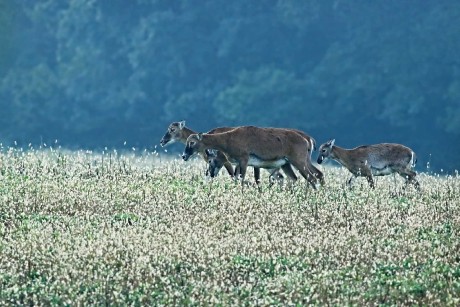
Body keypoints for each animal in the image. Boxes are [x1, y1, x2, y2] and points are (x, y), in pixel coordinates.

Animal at [181, 125, 322, 189]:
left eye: (192, 142)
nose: (184, 156)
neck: (229, 139)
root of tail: (306, 140)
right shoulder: (243, 164)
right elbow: (240, 178)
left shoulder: (244, 161)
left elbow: (242, 179)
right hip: (287, 164)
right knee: (294, 178)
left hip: (299, 162)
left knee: (313, 178)